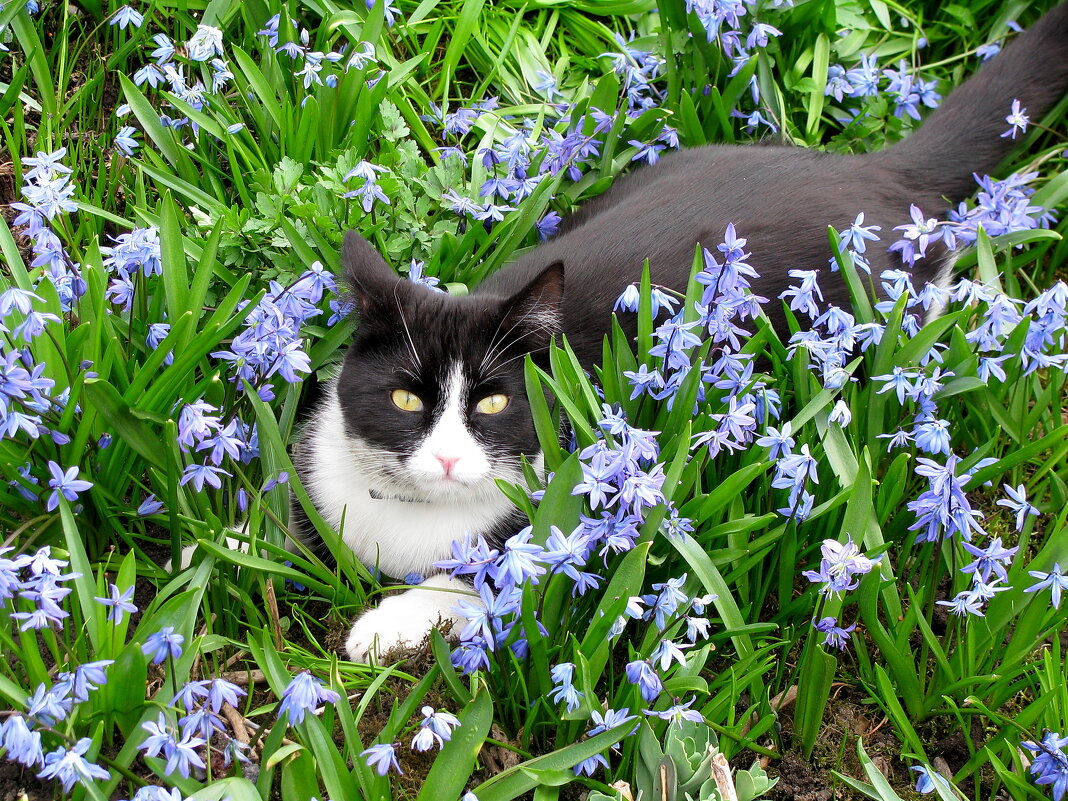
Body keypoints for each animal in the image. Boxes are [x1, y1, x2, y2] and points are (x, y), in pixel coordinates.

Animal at [294, 3, 1068, 662]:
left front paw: (385, 624)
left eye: (492, 402)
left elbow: (483, 578)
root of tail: (881, 171)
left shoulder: (562, 520)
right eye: (404, 399)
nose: (450, 458)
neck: (413, 514)